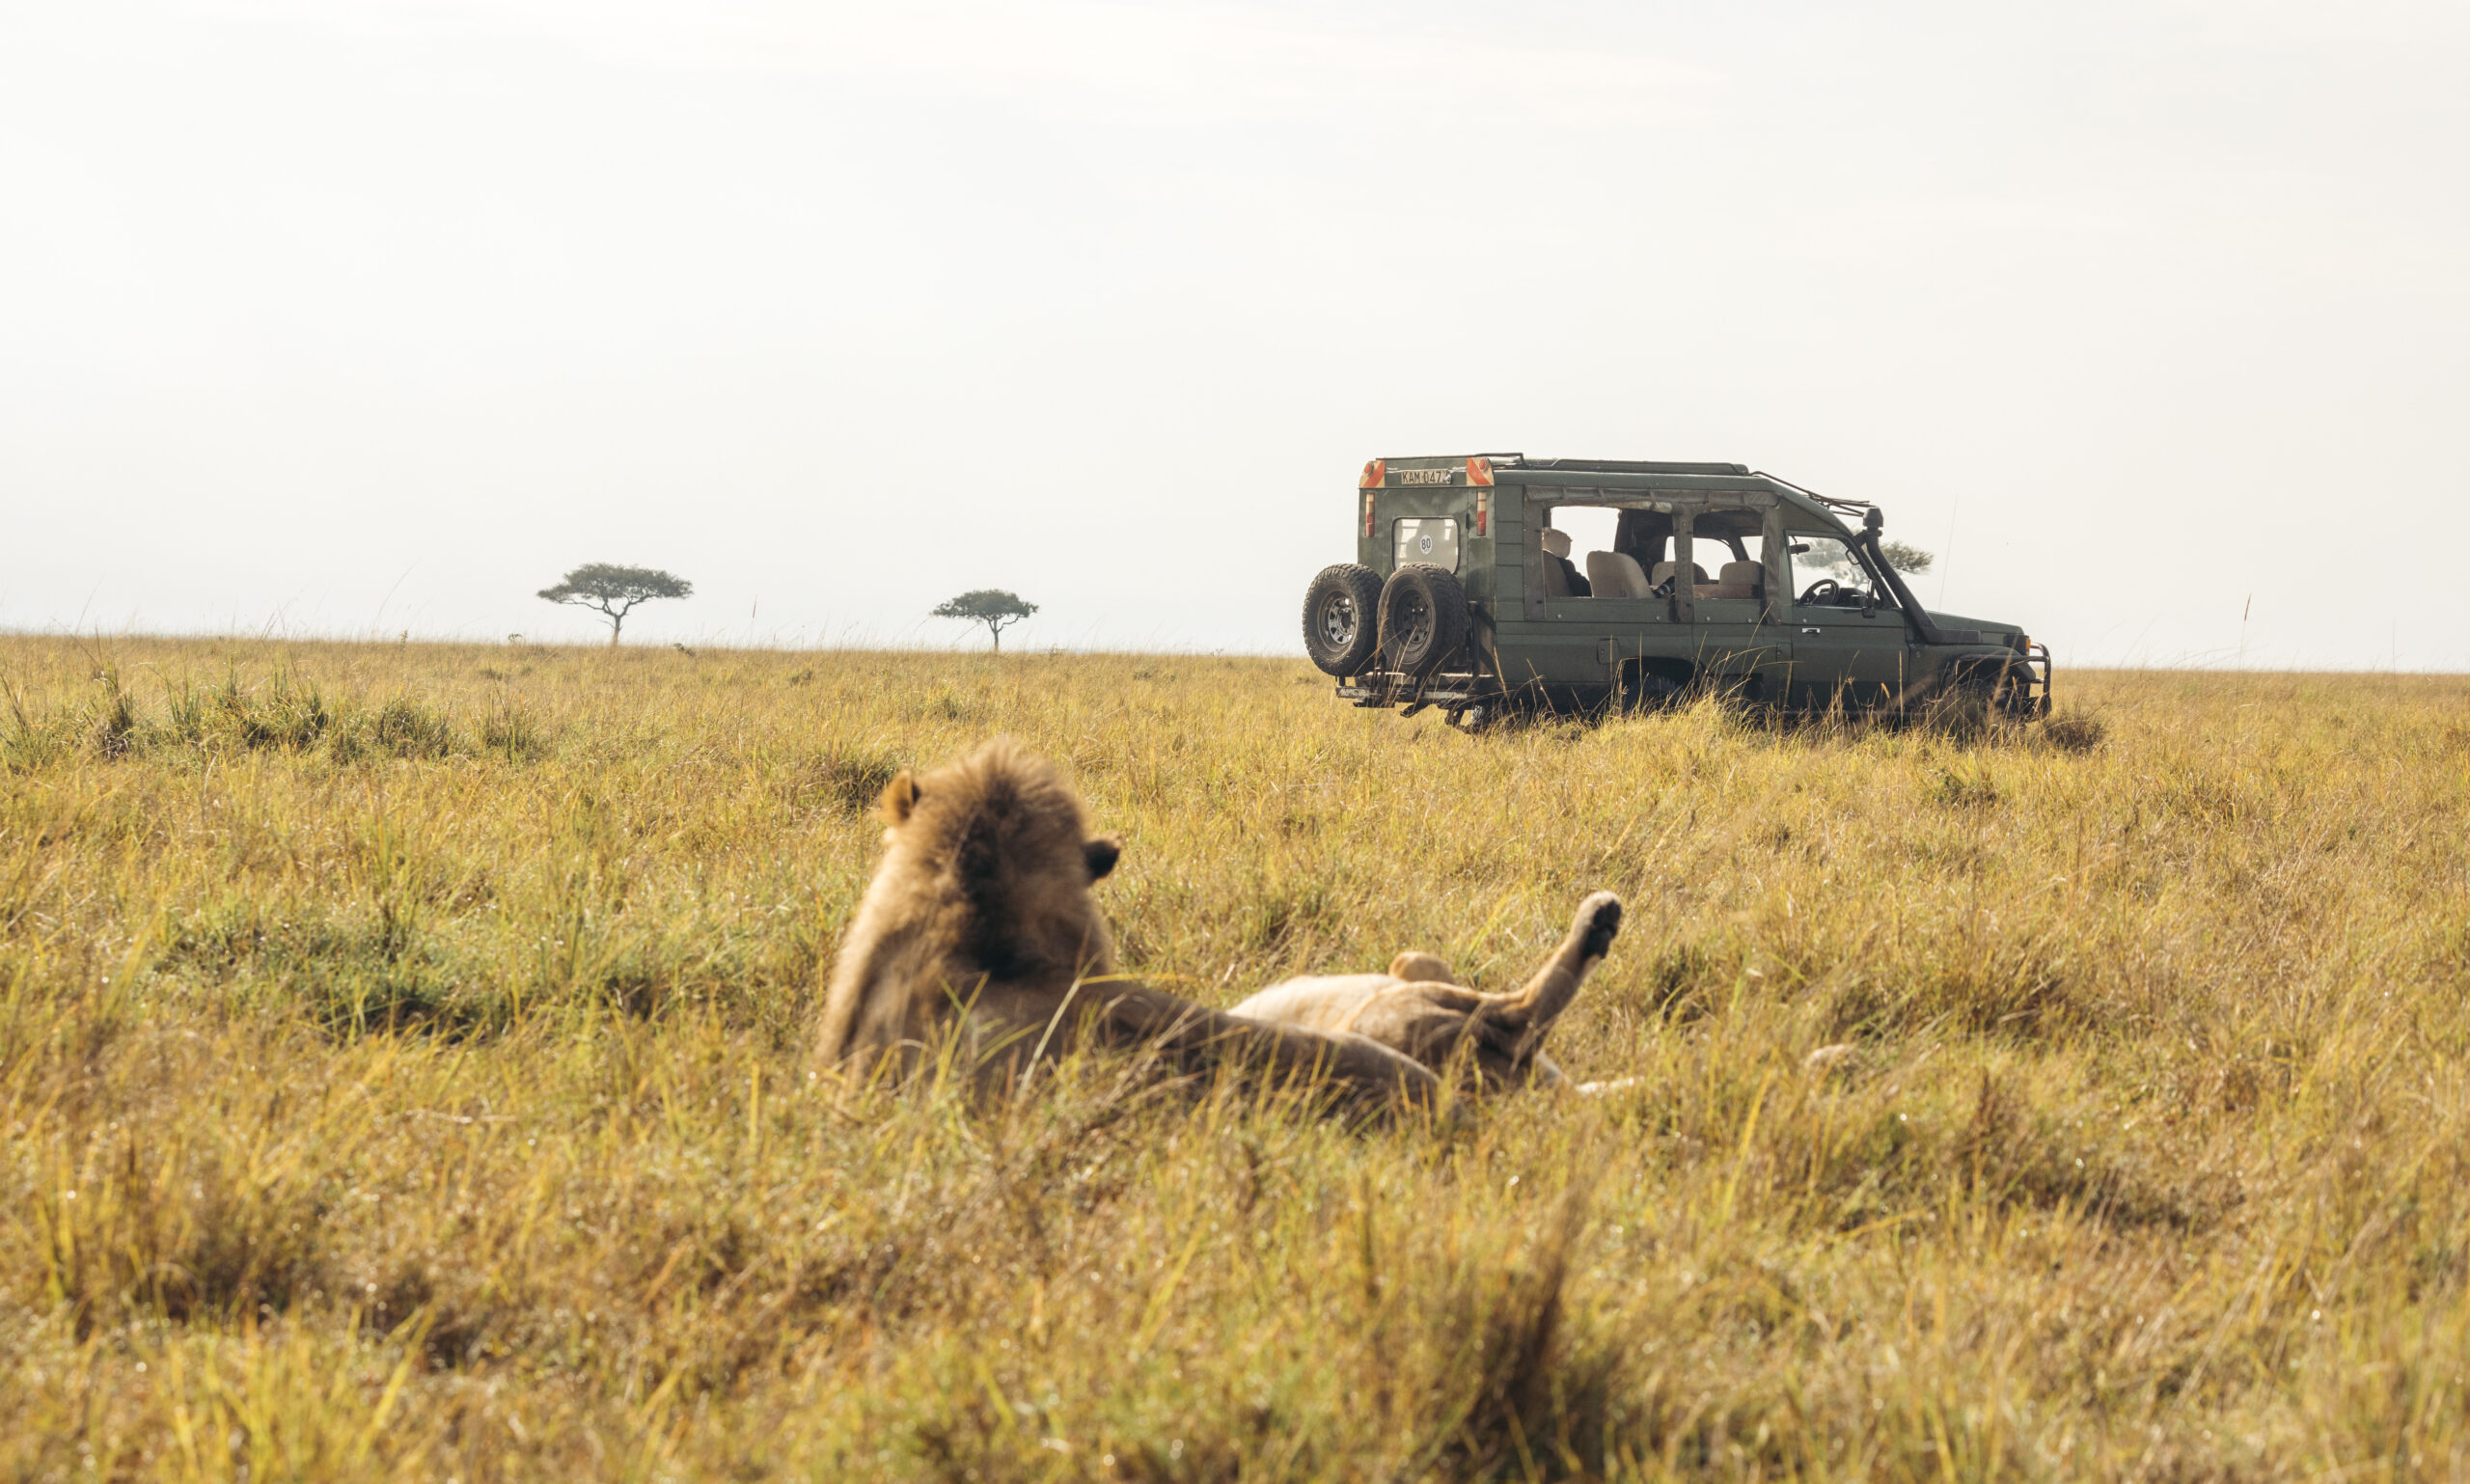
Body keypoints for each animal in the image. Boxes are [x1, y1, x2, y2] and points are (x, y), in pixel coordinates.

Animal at [813, 739, 1623, 1104]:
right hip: (1408, 1005)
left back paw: (1598, 918)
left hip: (1400, 1003)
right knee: (1507, 1009)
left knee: (1507, 1005)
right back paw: (1598, 925)